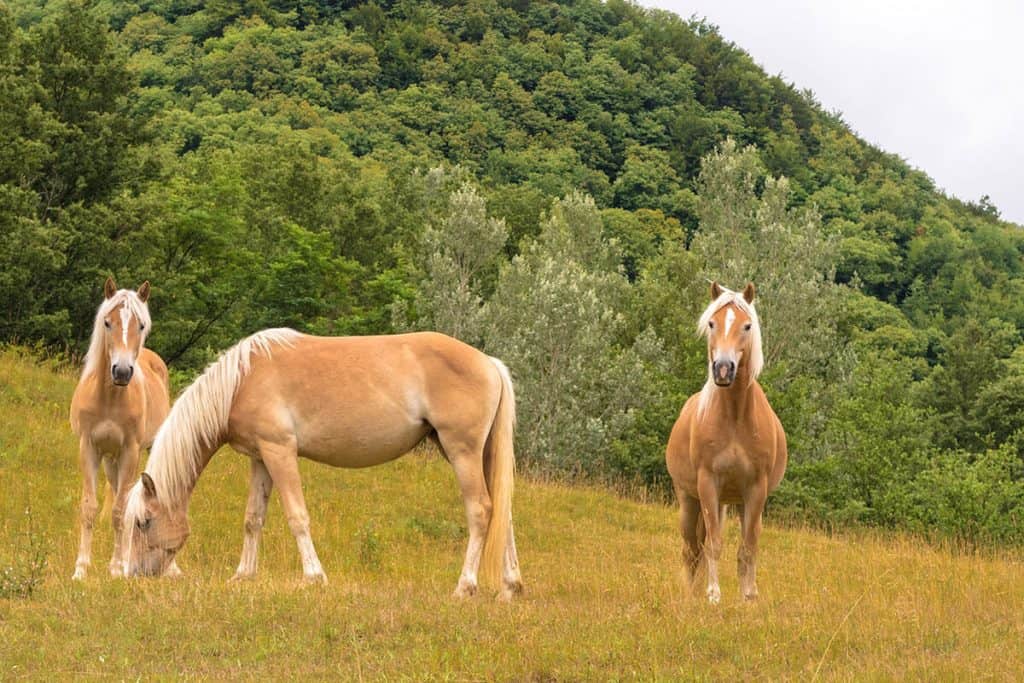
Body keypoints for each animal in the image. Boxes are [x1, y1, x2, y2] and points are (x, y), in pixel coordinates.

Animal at [70, 274, 171, 581]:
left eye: (141, 325)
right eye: (107, 322)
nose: (123, 372)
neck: (110, 398)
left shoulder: (130, 451)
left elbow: (120, 511)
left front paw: (116, 567)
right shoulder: (90, 448)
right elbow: (90, 508)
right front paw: (81, 569)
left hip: (142, 453)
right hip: (110, 460)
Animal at [120, 327, 524, 602]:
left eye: (143, 522)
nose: (136, 574)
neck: (241, 381)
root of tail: (489, 363)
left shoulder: (280, 452)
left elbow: (297, 516)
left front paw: (314, 576)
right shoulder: (261, 458)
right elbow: (253, 519)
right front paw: (243, 575)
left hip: (463, 452)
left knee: (480, 510)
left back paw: (465, 585)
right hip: (480, 454)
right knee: (502, 511)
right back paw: (511, 586)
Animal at [667, 282, 786, 602]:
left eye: (747, 325)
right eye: (711, 323)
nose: (723, 368)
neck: (735, 417)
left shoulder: (755, 490)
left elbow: (748, 548)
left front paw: (748, 597)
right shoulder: (708, 483)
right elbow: (713, 545)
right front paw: (713, 595)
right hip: (689, 500)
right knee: (691, 549)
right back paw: (690, 594)